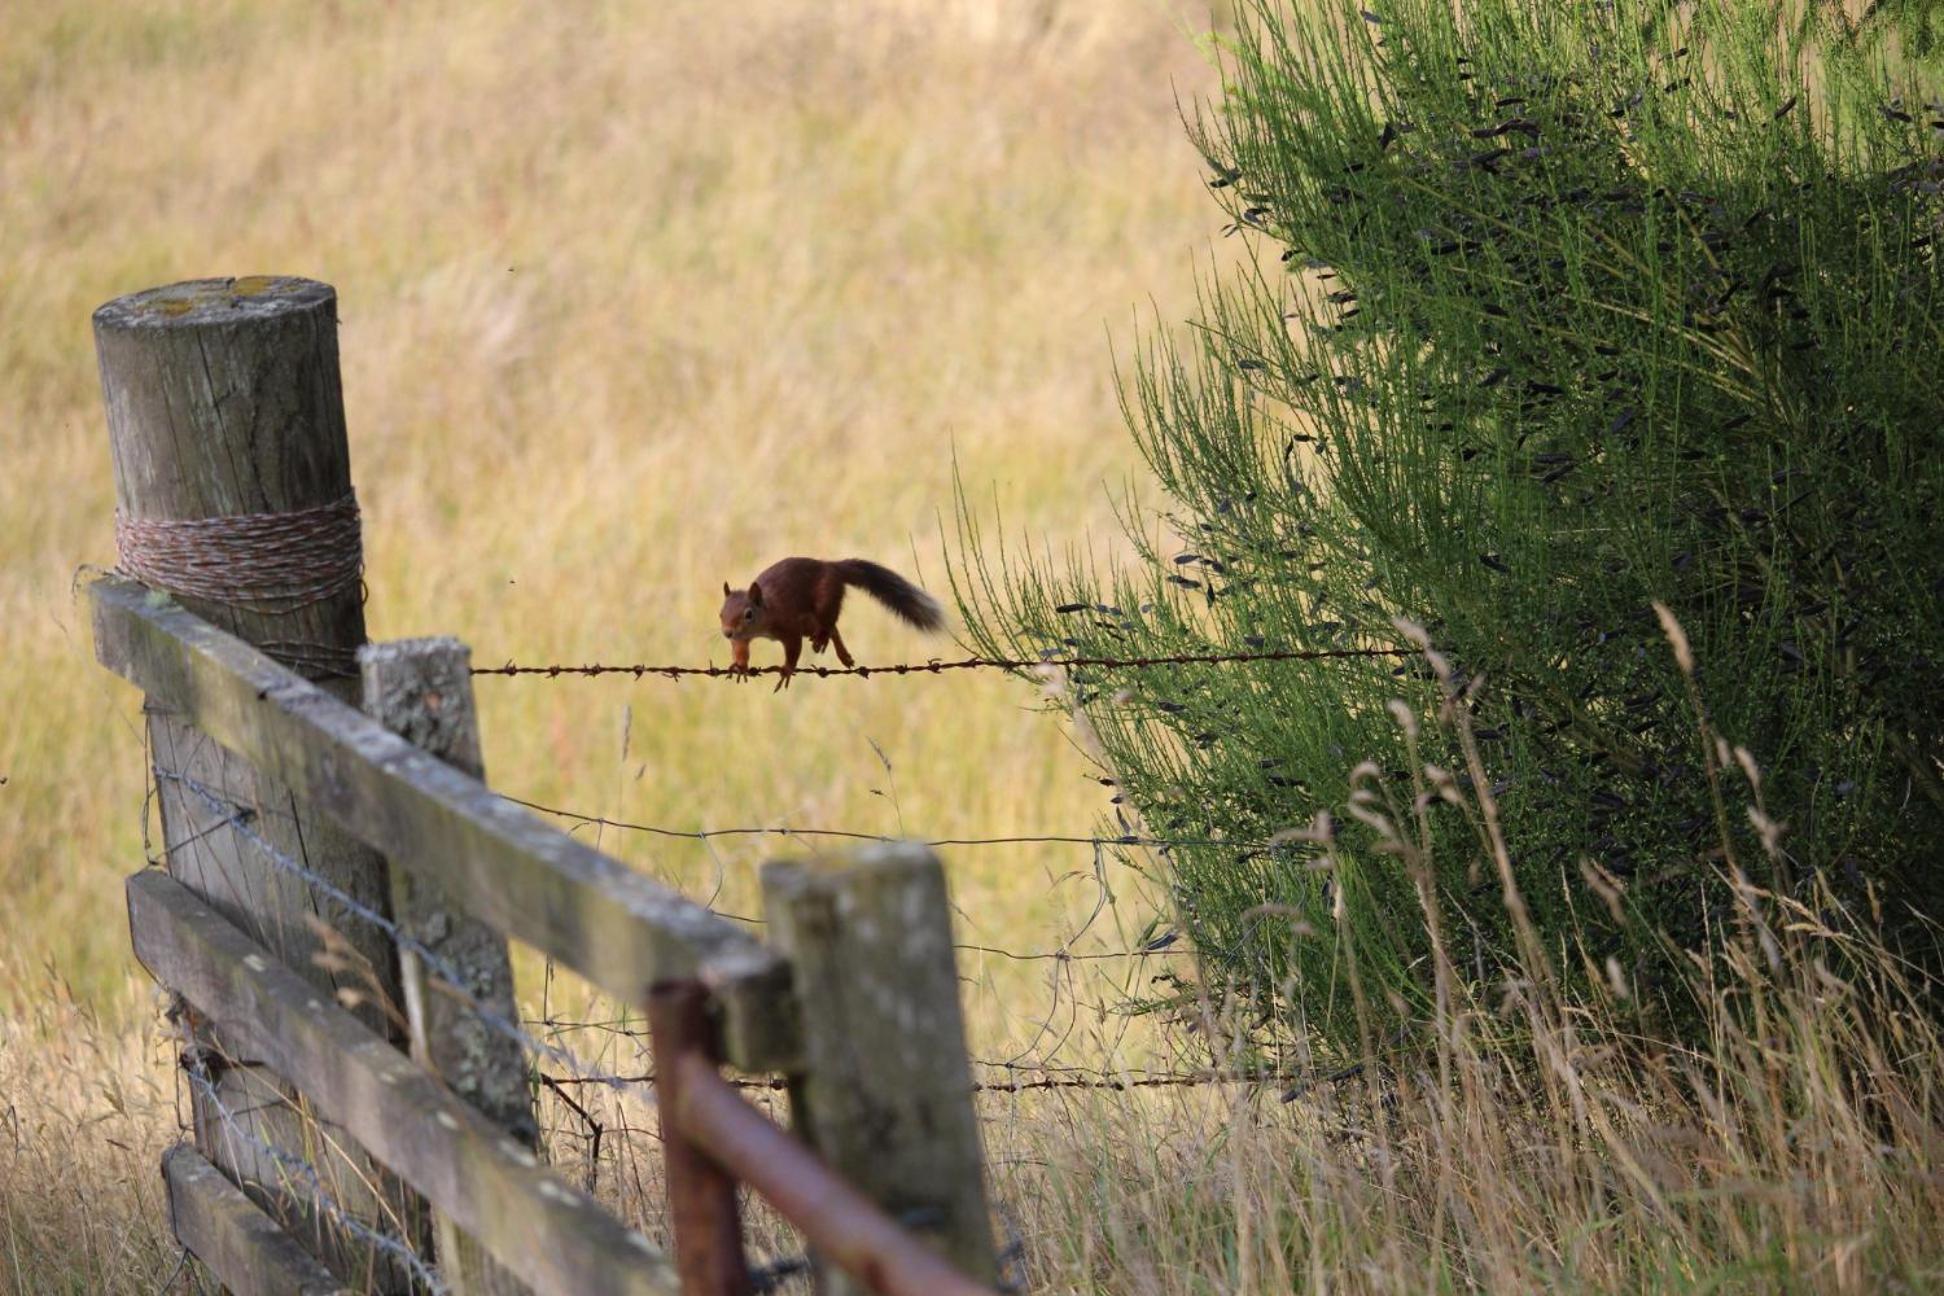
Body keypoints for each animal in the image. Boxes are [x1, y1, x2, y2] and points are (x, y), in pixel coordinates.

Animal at [723, 563, 948, 695]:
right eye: (721, 613)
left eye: (749, 614)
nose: (727, 632)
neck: (767, 612)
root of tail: (832, 567)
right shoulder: (742, 638)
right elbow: (740, 648)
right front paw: (740, 666)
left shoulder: (790, 627)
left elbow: (794, 649)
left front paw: (786, 670)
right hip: (809, 623)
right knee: (833, 629)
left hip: (824, 602)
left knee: (830, 626)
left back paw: (830, 646)